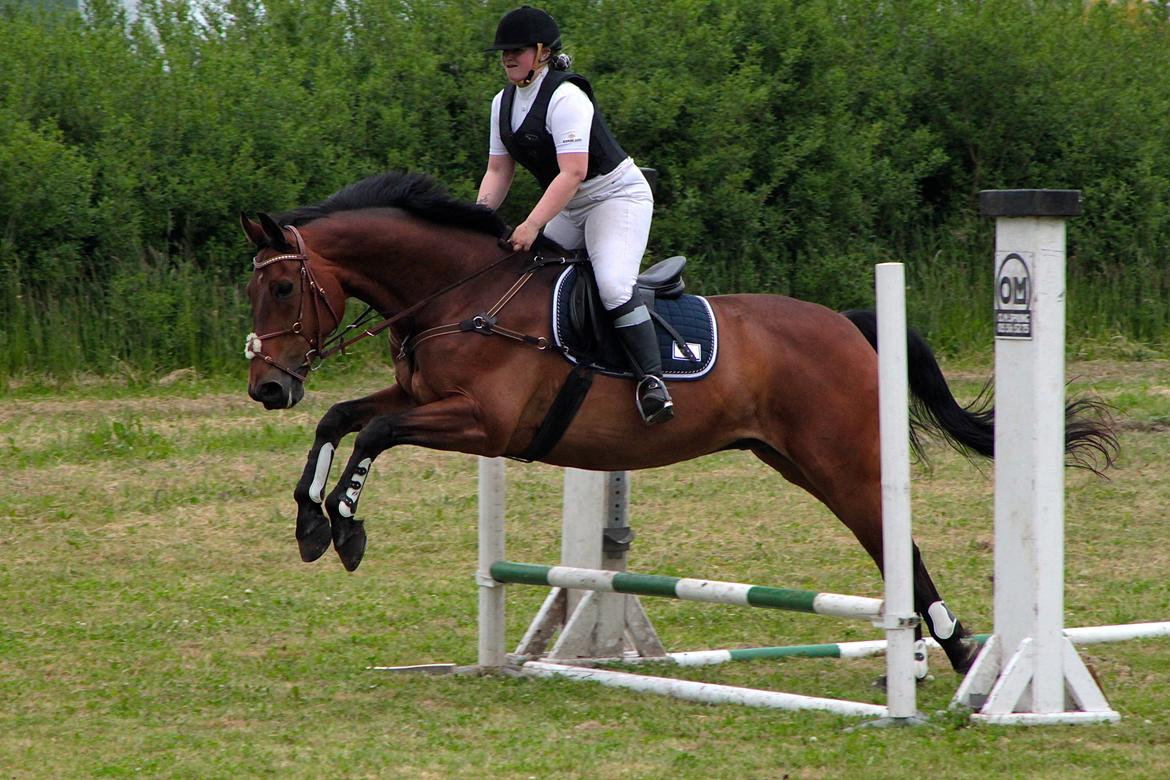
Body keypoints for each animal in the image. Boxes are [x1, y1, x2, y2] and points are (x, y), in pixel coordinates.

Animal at [242, 171, 1118, 678]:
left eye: (282, 290)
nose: (267, 387)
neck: (462, 292)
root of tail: (844, 322)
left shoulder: (481, 424)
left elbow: (372, 436)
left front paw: (345, 528)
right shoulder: (417, 398)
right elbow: (341, 418)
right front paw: (310, 523)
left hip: (841, 462)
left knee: (894, 540)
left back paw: (956, 653)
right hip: (794, 460)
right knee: (886, 546)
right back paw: (933, 654)